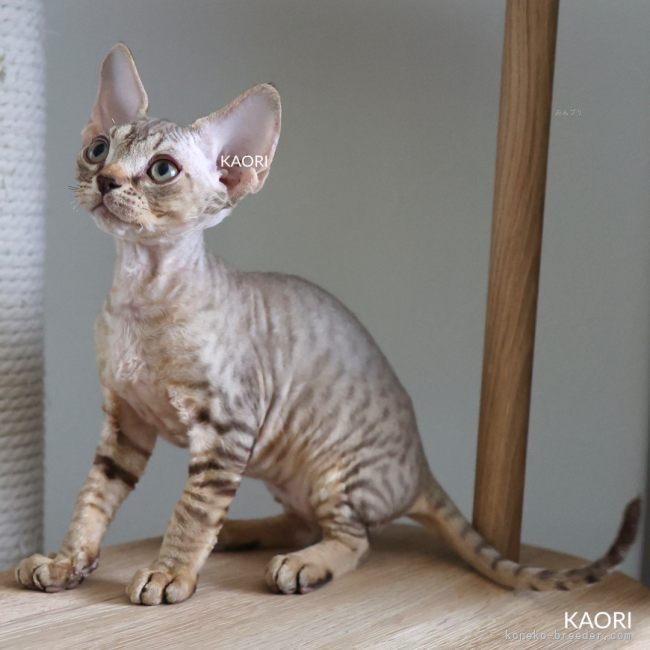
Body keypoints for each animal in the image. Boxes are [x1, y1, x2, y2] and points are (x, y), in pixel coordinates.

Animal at [15, 44, 636, 604]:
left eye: (162, 170)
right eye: (98, 148)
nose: (106, 180)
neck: (138, 297)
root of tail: (420, 468)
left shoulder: (228, 425)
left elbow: (192, 510)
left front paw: (171, 574)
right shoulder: (126, 421)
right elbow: (93, 498)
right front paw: (66, 561)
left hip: (336, 468)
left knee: (353, 538)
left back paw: (298, 563)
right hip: (282, 464)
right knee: (302, 519)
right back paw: (244, 533)